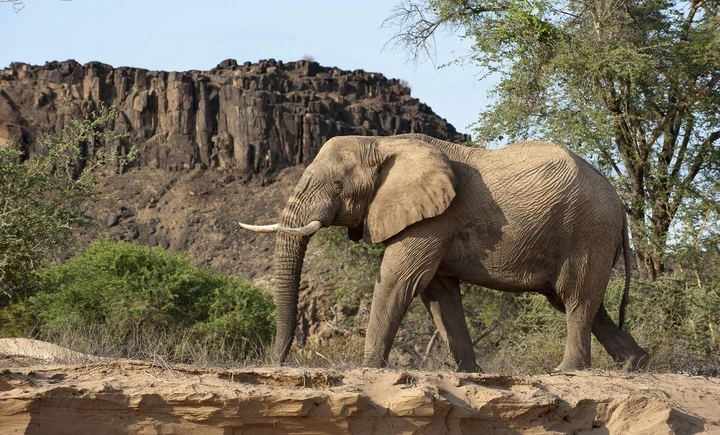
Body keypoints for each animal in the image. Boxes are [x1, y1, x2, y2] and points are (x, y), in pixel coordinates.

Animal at [240, 133, 650, 372]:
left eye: (338, 184)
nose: (275, 362)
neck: (384, 142)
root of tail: (620, 206)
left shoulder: (435, 218)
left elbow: (399, 279)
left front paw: (369, 368)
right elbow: (438, 293)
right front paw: (469, 374)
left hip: (588, 231)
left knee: (576, 297)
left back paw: (569, 371)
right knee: (579, 302)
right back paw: (636, 364)